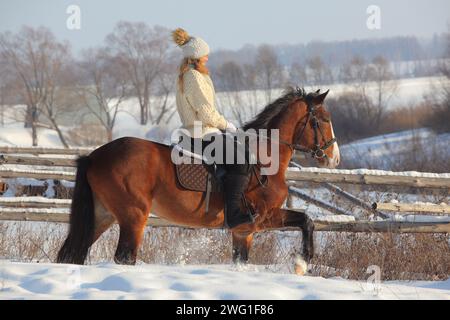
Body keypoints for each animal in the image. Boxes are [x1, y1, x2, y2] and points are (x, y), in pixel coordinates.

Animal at [57, 87, 338, 264]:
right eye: (323, 119)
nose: (334, 158)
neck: (265, 156)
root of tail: (95, 156)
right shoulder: (262, 218)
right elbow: (306, 220)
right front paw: (304, 260)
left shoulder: (243, 233)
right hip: (133, 216)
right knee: (124, 257)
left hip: (102, 215)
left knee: (72, 254)